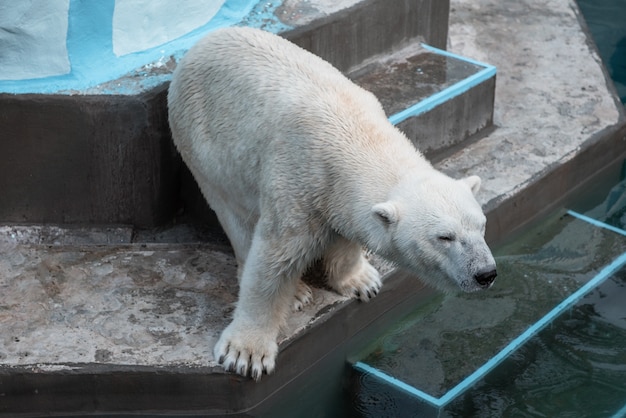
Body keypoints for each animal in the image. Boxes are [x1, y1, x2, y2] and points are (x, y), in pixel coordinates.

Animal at [167, 25, 498, 378]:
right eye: (444, 237)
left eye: (482, 225)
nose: (486, 273)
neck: (357, 136)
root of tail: (200, 45)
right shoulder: (297, 183)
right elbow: (273, 259)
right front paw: (246, 352)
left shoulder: (336, 193)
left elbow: (348, 231)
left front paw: (362, 280)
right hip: (203, 145)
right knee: (236, 216)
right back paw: (295, 292)